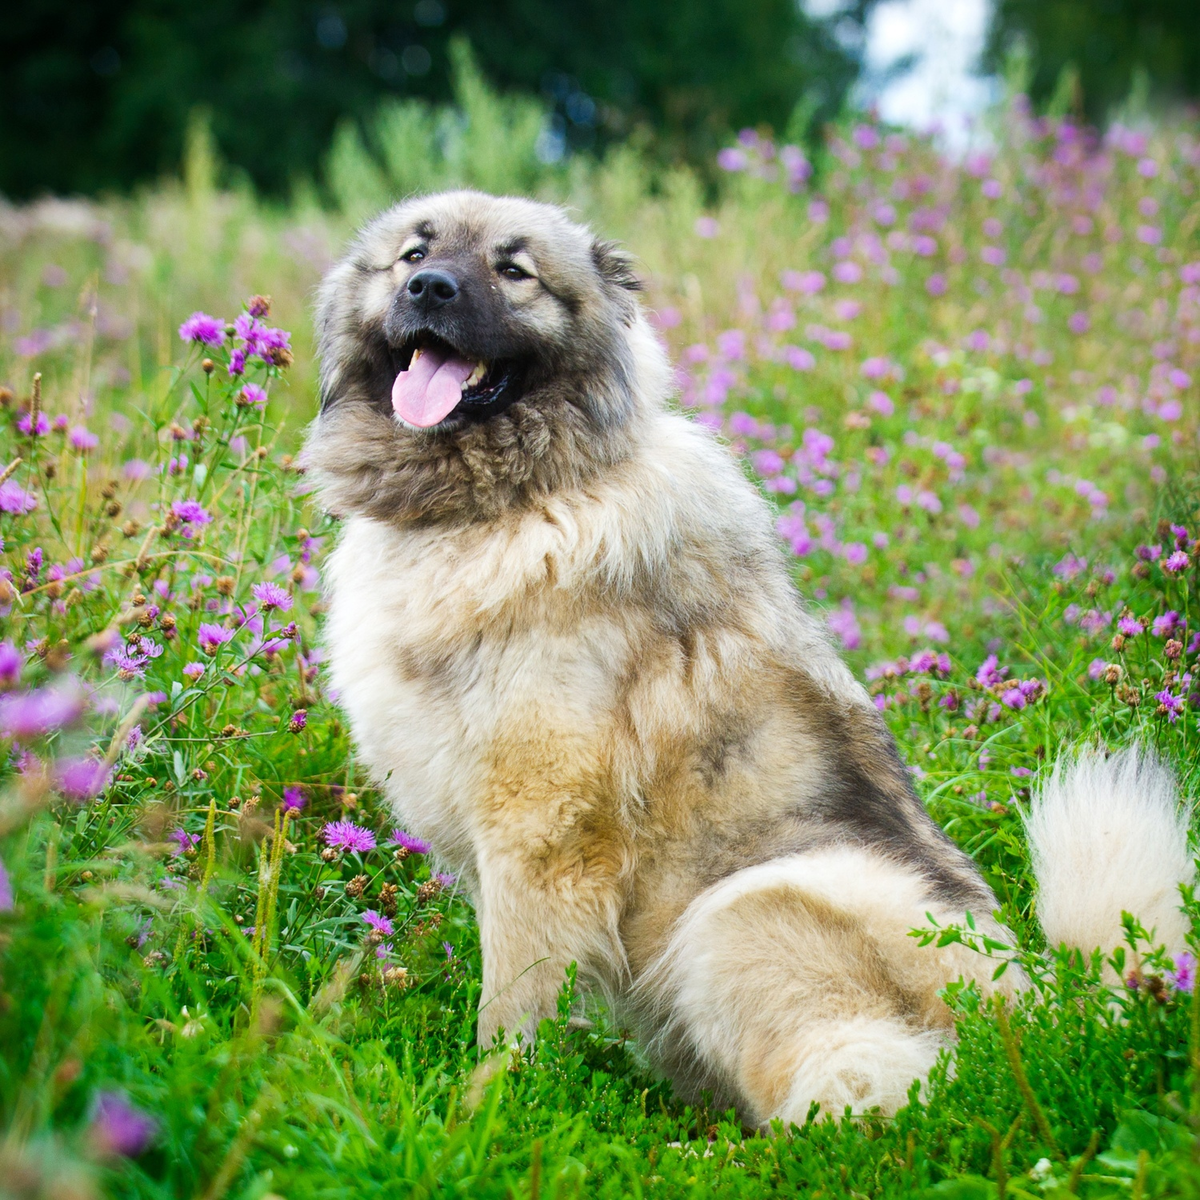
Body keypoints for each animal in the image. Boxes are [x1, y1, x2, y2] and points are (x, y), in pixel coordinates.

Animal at [304, 189, 1195, 1123]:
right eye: (413, 256)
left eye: (514, 270)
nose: (431, 289)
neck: (496, 507)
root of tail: (1044, 1009)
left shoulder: (539, 830)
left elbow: (511, 1001)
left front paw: (493, 1104)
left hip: (744, 904)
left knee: (876, 1080)